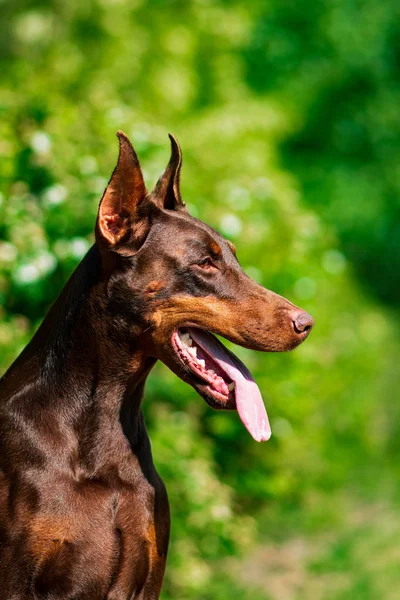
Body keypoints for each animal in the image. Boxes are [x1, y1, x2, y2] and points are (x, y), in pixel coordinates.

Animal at [0, 134, 312, 596]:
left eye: (234, 257)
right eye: (205, 262)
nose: (306, 324)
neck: (99, 425)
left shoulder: (145, 575)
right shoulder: (17, 579)